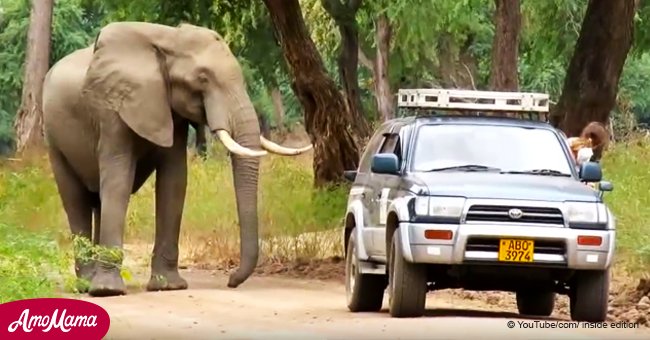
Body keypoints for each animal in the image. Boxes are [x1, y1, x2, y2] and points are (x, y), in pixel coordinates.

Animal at [42, 21, 312, 298]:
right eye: (202, 79)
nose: (231, 280)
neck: (169, 38)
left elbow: (174, 180)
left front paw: (168, 287)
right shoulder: (112, 108)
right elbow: (118, 180)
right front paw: (108, 291)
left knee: (95, 200)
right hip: (53, 139)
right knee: (76, 199)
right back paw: (87, 285)